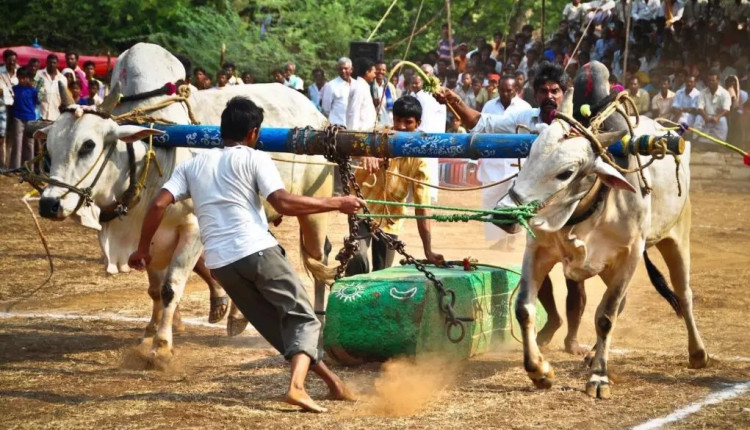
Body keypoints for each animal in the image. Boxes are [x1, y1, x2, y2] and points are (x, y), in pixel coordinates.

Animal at [34, 43, 334, 362]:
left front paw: (162, 346)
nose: (49, 204)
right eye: (49, 145)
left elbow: (170, 288)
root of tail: (317, 115)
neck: (146, 162)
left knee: (319, 259)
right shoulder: (149, 238)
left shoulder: (193, 231)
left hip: (314, 207)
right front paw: (149, 334)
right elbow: (155, 289)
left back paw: (319, 327)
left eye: (88, 145)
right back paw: (237, 317)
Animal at [500, 61, 712, 400]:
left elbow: (606, 316)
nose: (505, 212)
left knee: (683, 293)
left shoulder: (630, 256)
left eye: (566, 173)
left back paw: (697, 353)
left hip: (676, 236)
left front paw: (599, 377)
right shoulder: (539, 249)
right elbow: (524, 308)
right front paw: (540, 371)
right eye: (529, 154)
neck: (586, 209)